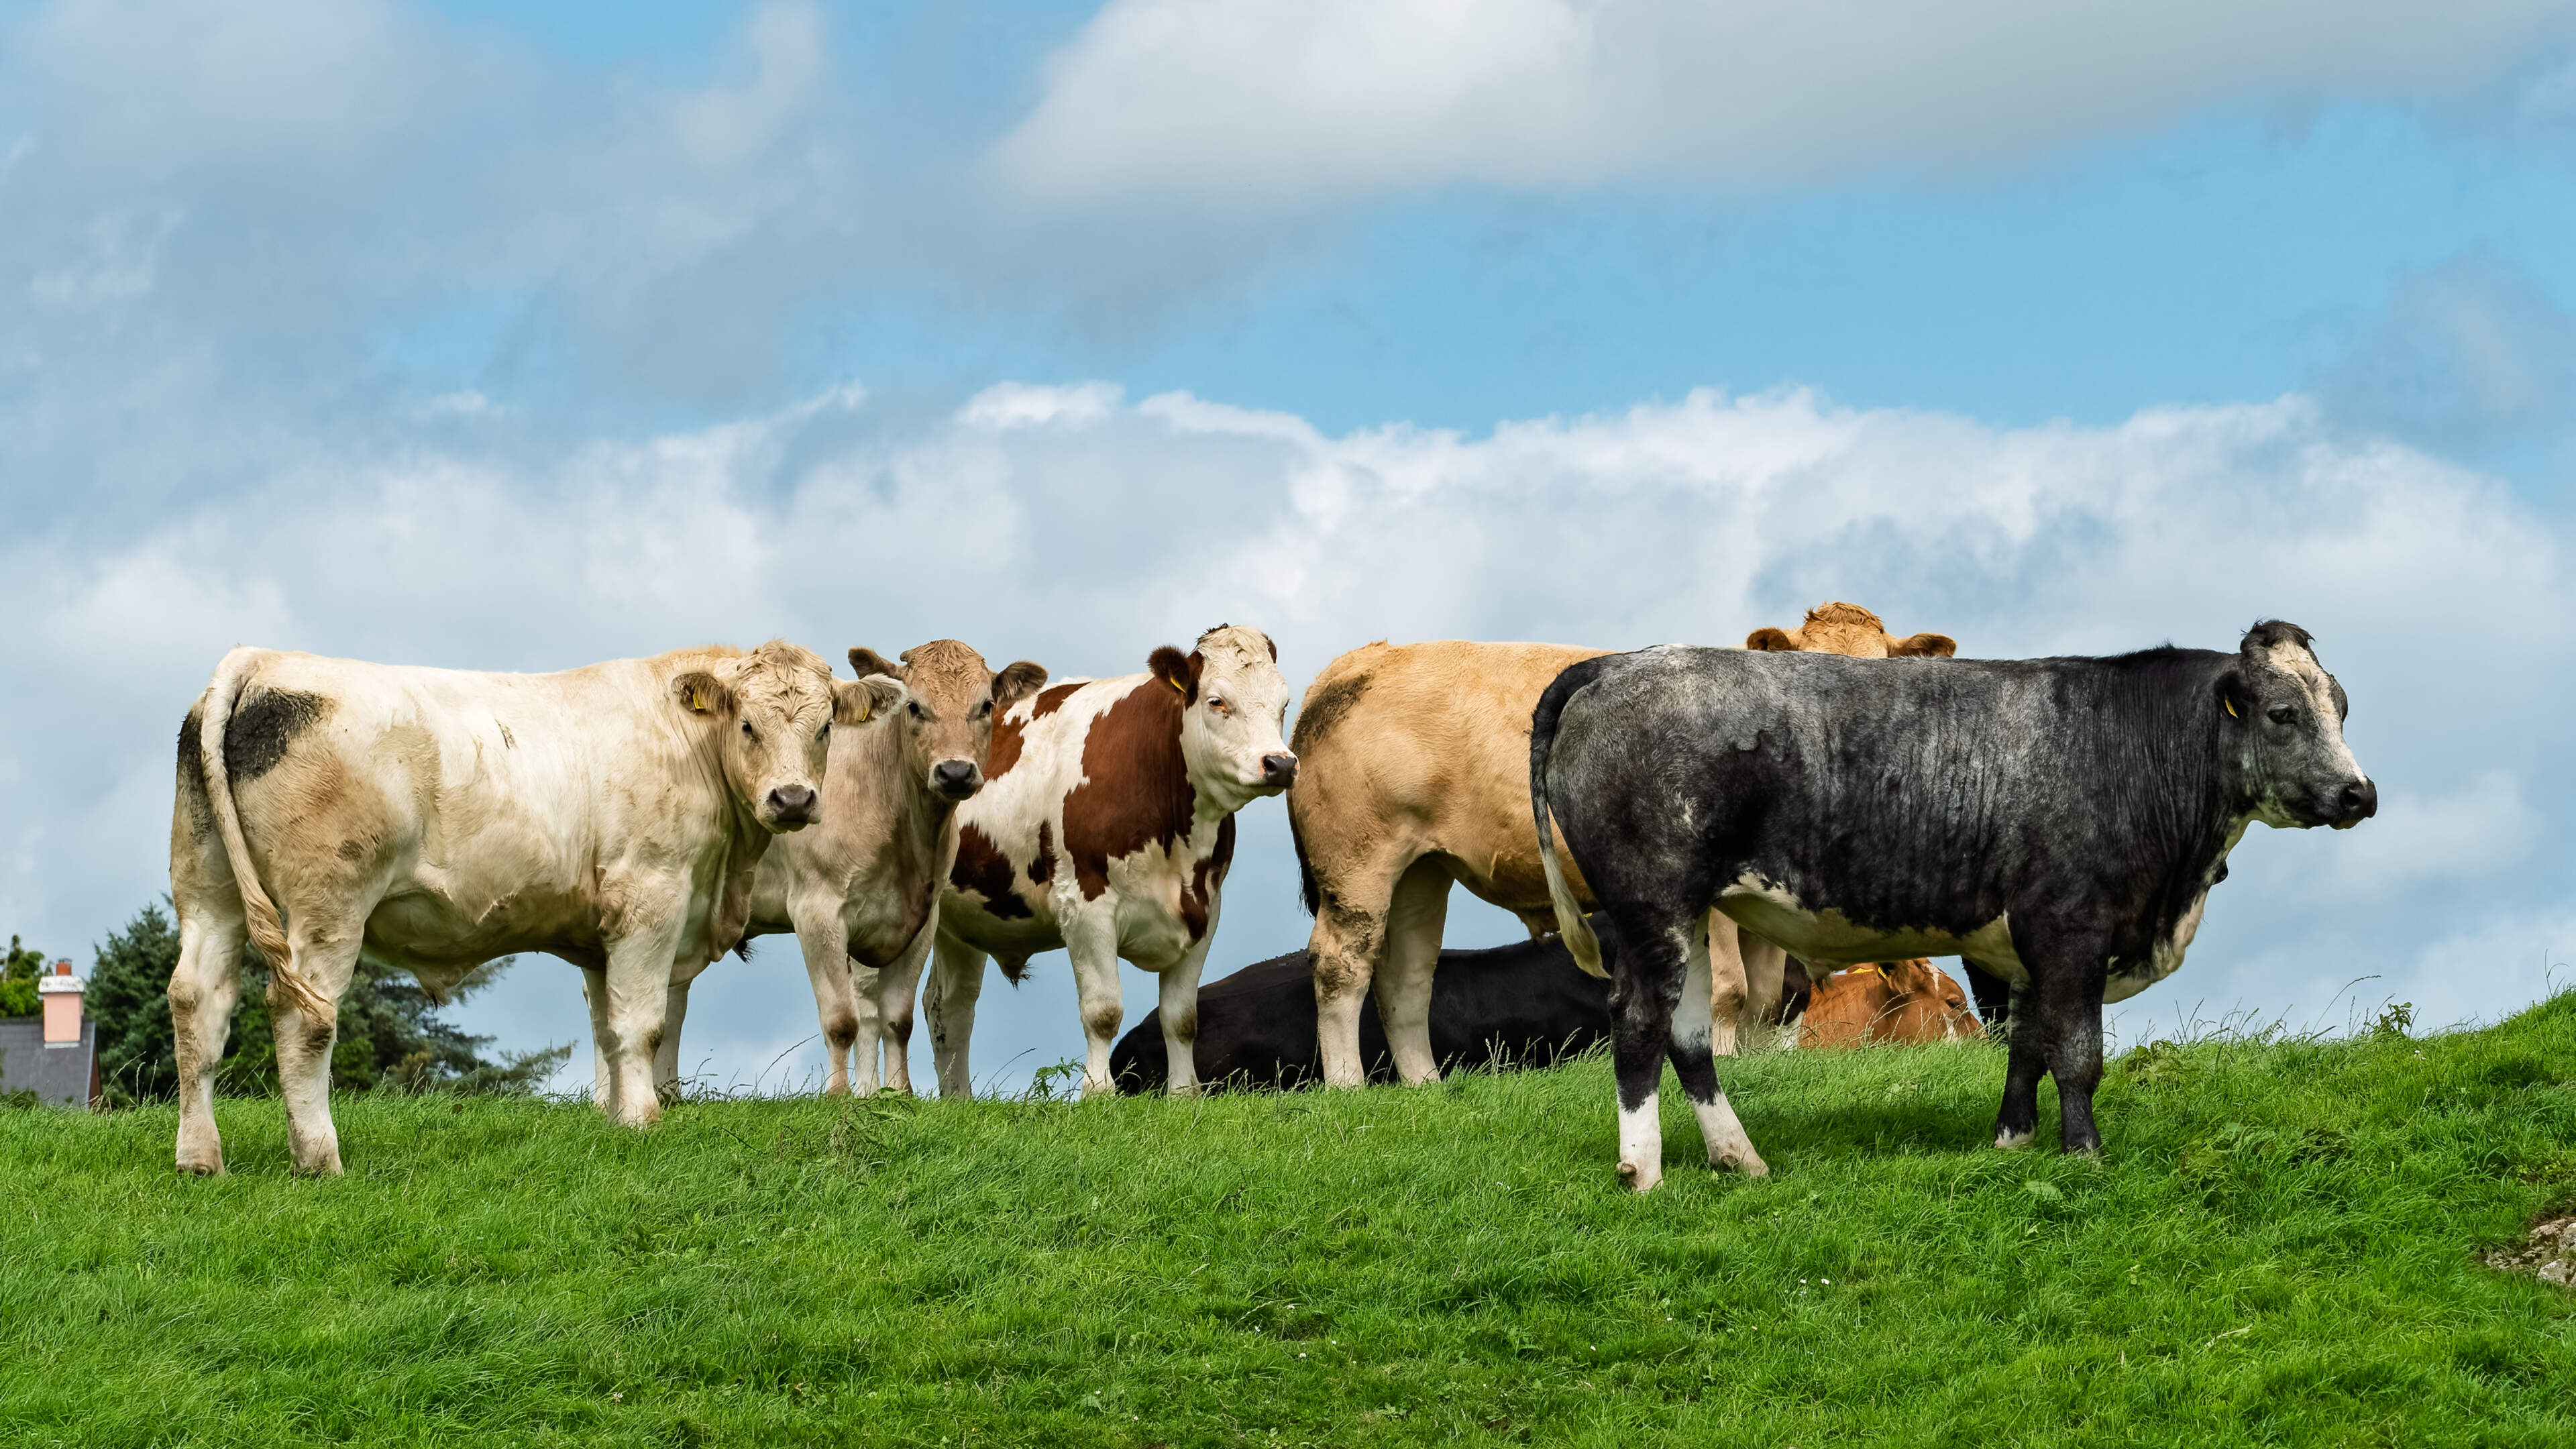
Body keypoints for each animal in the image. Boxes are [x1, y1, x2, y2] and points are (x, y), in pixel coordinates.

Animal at [167, 641, 890, 1175]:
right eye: (747, 724)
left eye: (826, 728)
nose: (792, 799)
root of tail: (261, 658)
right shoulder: (651, 896)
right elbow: (643, 1025)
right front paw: (646, 1121)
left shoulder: (601, 933)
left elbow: (607, 1030)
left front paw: (616, 1120)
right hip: (329, 902)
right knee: (305, 1014)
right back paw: (318, 1157)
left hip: (209, 892)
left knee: (196, 1000)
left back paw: (201, 1160)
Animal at [740, 641, 1048, 1096]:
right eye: (914, 706)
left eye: (987, 705)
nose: (955, 772)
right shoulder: (817, 912)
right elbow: (842, 1020)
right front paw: (839, 1096)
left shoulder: (920, 920)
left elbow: (898, 1021)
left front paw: (899, 1092)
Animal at [882, 624, 1297, 1098]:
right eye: (1217, 701)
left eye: (1285, 703)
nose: (1280, 763)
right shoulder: (1085, 903)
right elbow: (1103, 1011)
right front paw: (1098, 1093)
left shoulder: (1205, 908)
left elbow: (1182, 1017)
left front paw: (1183, 1093)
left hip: (961, 920)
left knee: (948, 1009)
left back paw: (959, 1100)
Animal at [1288, 602, 1957, 1088]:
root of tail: (1360, 662)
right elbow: (1731, 989)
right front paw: (1727, 1061)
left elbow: (1767, 996)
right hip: (1357, 865)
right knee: (1341, 965)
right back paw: (1347, 1085)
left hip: (1422, 871)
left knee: (1405, 976)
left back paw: (1425, 1085)